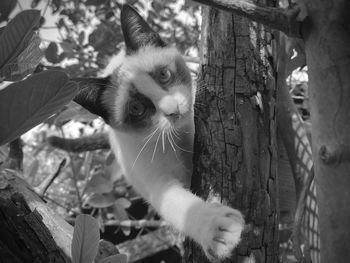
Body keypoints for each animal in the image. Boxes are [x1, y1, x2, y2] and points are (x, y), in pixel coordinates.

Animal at [73, 4, 245, 262]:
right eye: (136, 108)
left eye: (164, 75)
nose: (173, 110)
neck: (178, 138)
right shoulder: (159, 185)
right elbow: (185, 208)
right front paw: (219, 231)